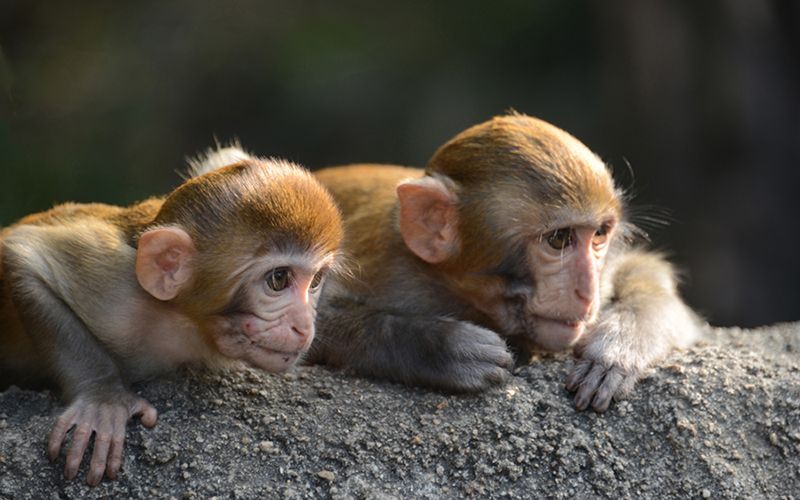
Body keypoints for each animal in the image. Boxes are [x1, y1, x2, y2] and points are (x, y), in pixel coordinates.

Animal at [0, 151, 343, 485]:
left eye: (315, 281)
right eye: (278, 279)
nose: (304, 326)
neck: (185, 324)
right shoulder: (118, 293)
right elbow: (22, 254)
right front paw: (102, 398)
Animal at [303, 113, 702, 412]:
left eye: (599, 235)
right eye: (559, 239)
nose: (587, 292)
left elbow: (642, 272)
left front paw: (618, 346)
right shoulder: (386, 266)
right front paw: (444, 347)